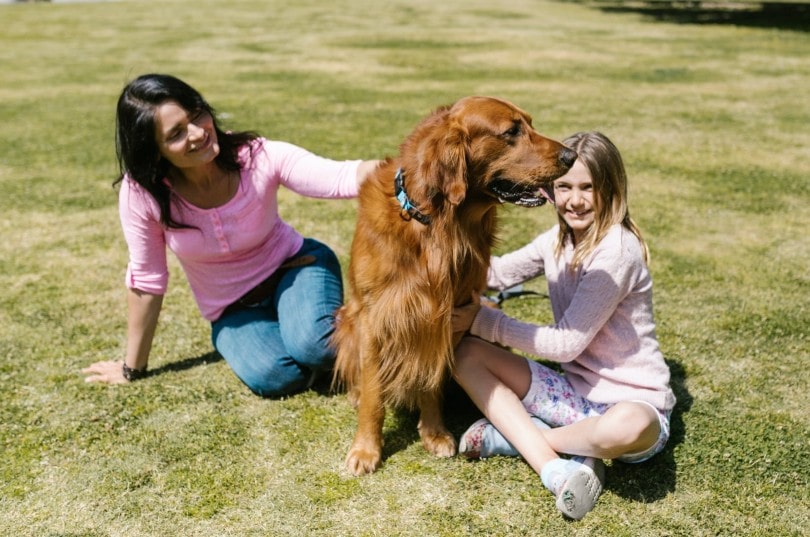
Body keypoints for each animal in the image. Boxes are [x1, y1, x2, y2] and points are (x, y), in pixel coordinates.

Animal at [332, 95, 576, 474]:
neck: (436, 224)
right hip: (347, 318)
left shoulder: (447, 314)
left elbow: (431, 382)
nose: (571, 155)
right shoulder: (376, 317)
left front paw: (434, 434)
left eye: (530, 124)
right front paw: (366, 450)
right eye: (511, 132)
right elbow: (374, 394)